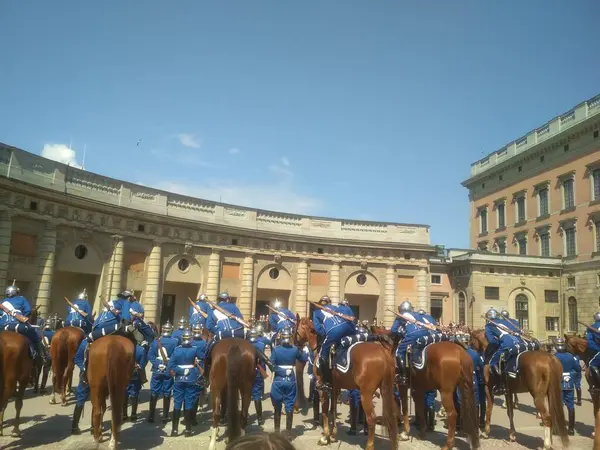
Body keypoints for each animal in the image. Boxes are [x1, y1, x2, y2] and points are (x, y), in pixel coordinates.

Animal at [296, 316, 398, 450]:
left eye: (296, 329)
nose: (294, 343)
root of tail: (384, 353)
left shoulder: (323, 388)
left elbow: (325, 410)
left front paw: (325, 437)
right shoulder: (335, 387)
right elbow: (333, 410)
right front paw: (333, 435)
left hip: (366, 394)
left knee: (371, 418)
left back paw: (369, 446)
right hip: (387, 389)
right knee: (391, 417)